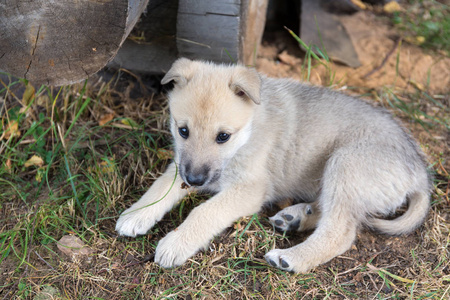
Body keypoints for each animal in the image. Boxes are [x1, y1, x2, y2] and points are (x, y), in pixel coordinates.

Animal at [115, 57, 428, 274]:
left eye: (223, 136)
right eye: (182, 131)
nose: (194, 181)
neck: (249, 131)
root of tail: (420, 173)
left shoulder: (250, 189)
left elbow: (204, 211)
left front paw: (176, 243)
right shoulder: (183, 164)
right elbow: (161, 186)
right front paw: (138, 213)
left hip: (344, 163)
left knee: (341, 231)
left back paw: (292, 257)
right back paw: (296, 217)